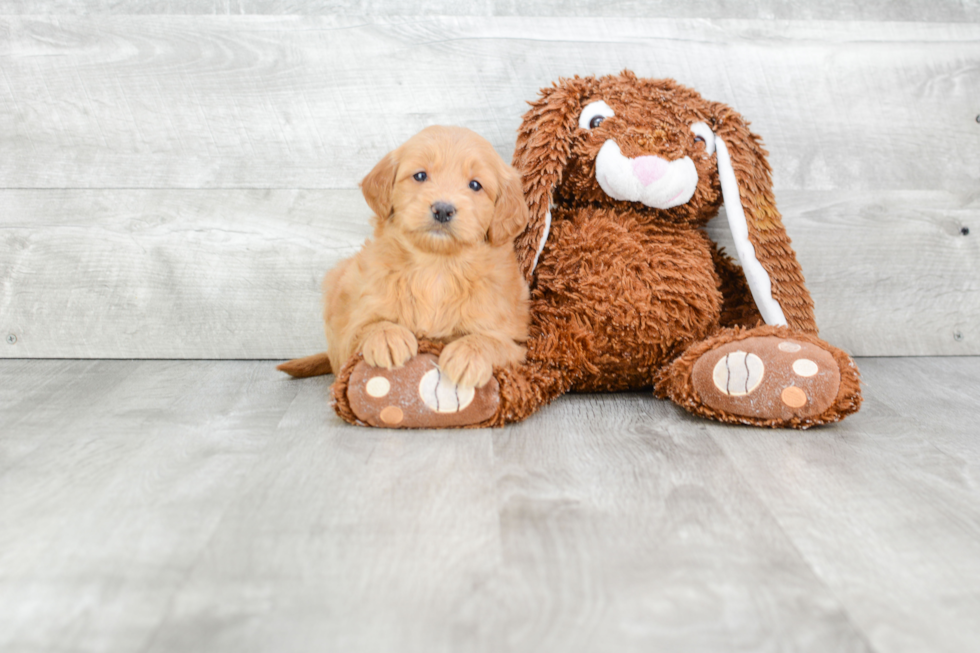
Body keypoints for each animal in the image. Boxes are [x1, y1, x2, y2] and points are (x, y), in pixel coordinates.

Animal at [278, 125, 528, 428]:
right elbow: (368, 327)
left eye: (475, 185)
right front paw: (388, 338)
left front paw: (468, 354)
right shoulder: (351, 329)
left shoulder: (517, 343)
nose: (443, 209)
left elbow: (494, 340)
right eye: (420, 175)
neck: (437, 267)